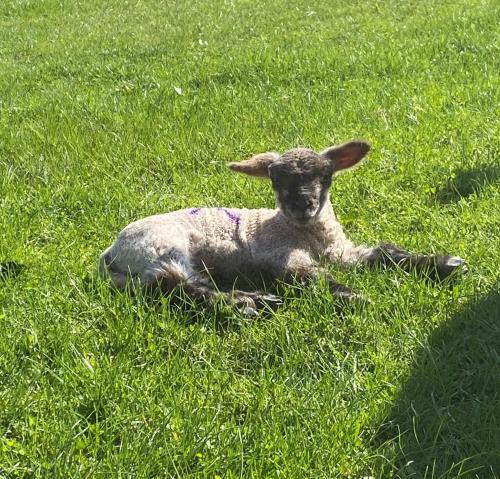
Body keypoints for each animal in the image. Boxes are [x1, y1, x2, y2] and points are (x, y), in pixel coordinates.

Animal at [99, 140, 466, 316]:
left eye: (326, 175)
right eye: (276, 180)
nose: (303, 204)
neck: (309, 235)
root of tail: (110, 254)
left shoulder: (343, 252)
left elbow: (384, 253)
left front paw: (442, 263)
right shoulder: (282, 255)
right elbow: (314, 277)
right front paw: (354, 296)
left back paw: (256, 299)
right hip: (162, 248)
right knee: (180, 288)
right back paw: (247, 305)